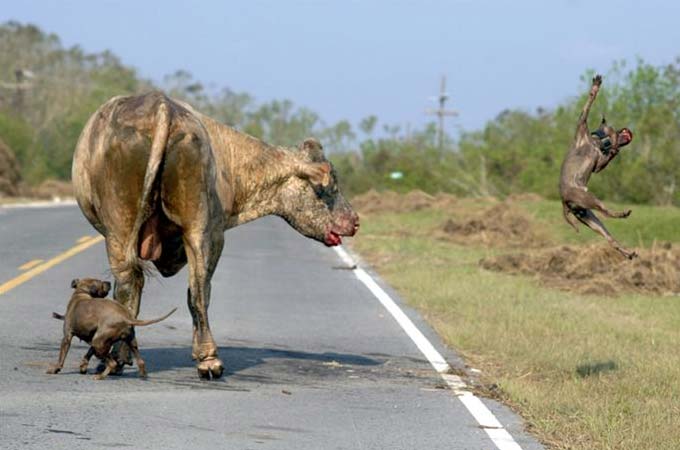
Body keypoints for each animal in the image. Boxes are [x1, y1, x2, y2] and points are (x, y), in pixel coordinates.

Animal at [46, 278, 177, 380]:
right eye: (101, 283)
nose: (109, 282)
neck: (81, 293)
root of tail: (125, 317)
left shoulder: (67, 337)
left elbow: (61, 357)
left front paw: (55, 369)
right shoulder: (93, 339)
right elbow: (88, 353)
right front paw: (83, 367)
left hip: (99, 342)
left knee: (112, 363)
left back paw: (100, 376)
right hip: (126, 342)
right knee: (140, 361)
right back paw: (143, 375)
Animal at [72, 92, 362, 380]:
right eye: (331, 186)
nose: (356, 221)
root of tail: (161, 106)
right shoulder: (216, 234)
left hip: (136, 231)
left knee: (145, 287)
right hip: (185, 230)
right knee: (188, 290)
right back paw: (203, 360)